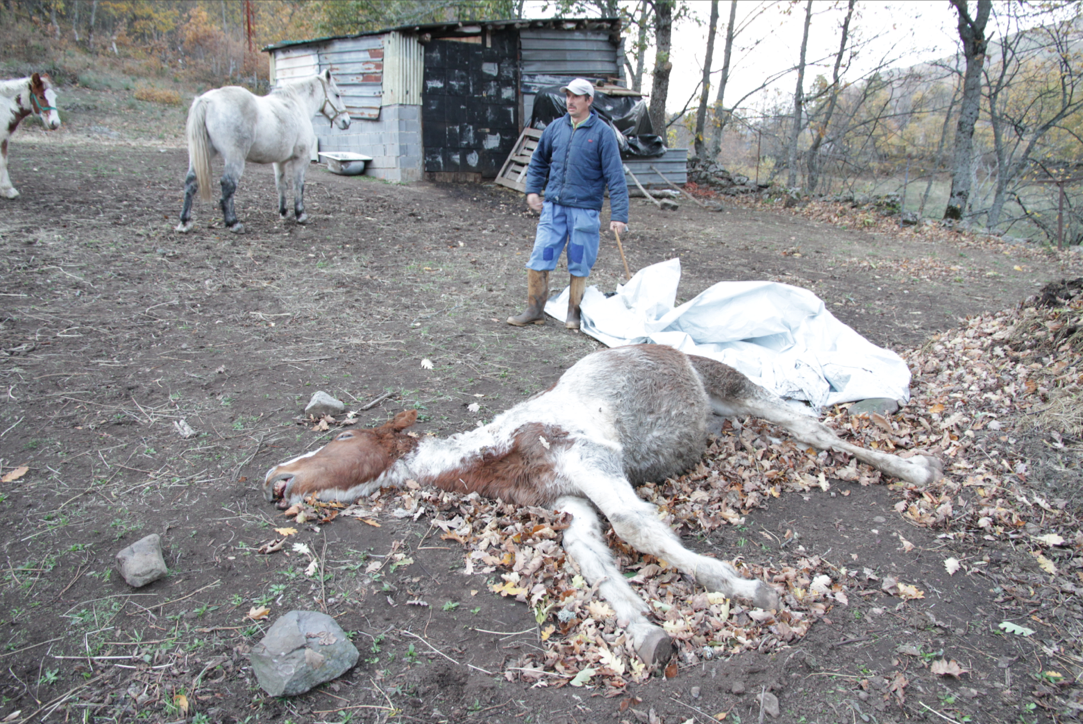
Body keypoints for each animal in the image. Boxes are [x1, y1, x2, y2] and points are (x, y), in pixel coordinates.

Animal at [175, 69, 348, 232]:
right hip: (234, 157)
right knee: (228, 184)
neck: (296, 105)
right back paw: (233, 223)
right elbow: (298, 185)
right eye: (337, 95)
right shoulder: (301, 158)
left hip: (204, 154)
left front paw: (284, 212)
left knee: (191, 181)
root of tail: (207, 100)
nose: (347, 121)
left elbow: (281, 184)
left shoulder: (279, 162)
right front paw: (300, 214)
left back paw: (185, 222)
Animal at [262, 344, 940, 666]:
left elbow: (636, 528)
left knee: (813, 431)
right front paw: (647, 633)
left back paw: (921, 470)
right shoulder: (573, 499)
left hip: (739, 390)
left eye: (340, 440)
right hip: (722, 410)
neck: (508, 446)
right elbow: (591, 557)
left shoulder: (597, 463)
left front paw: (750, 591)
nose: (275, 479)